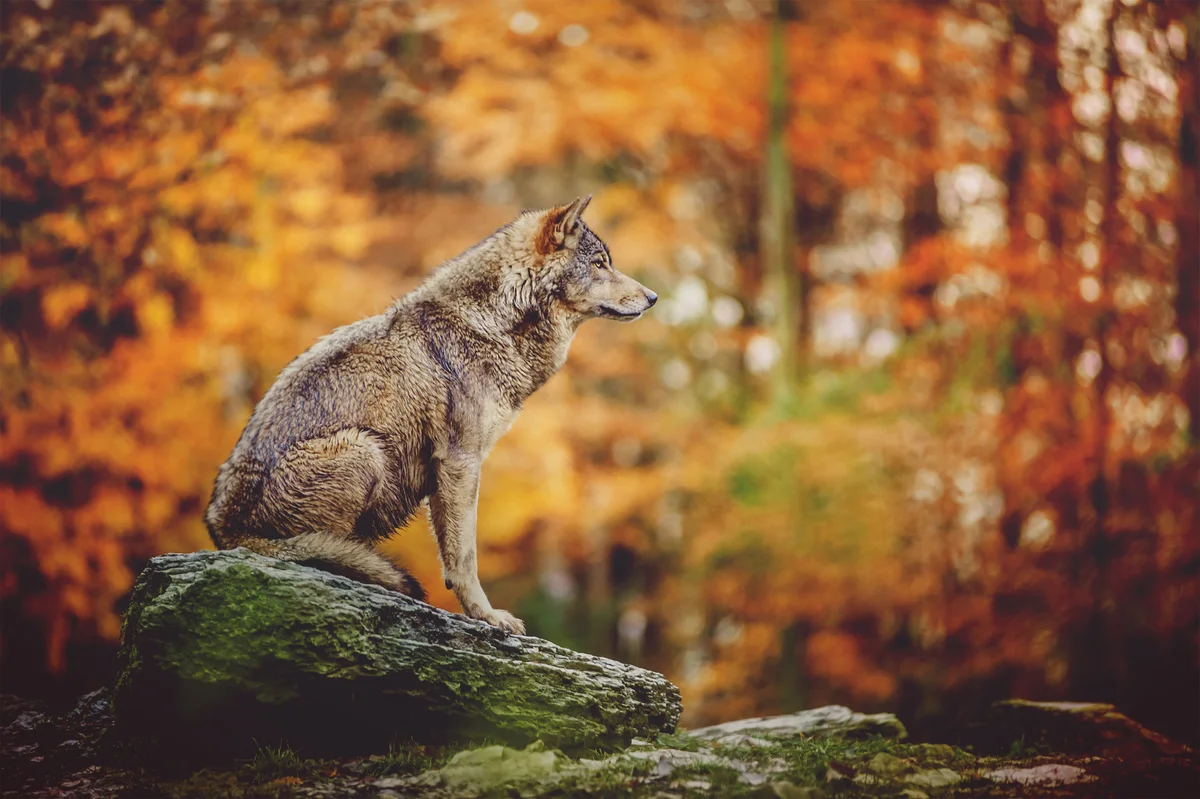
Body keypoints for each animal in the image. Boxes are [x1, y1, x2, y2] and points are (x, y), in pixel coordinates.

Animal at [204, 197, 656, 634]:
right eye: (599, 263)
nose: (652, 298)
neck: (492, 323)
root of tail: (223, 528)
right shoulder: (461, 462)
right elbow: (465, 556)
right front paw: (488, 617)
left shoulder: (447, 473)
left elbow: (453, 556)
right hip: (364, 449)